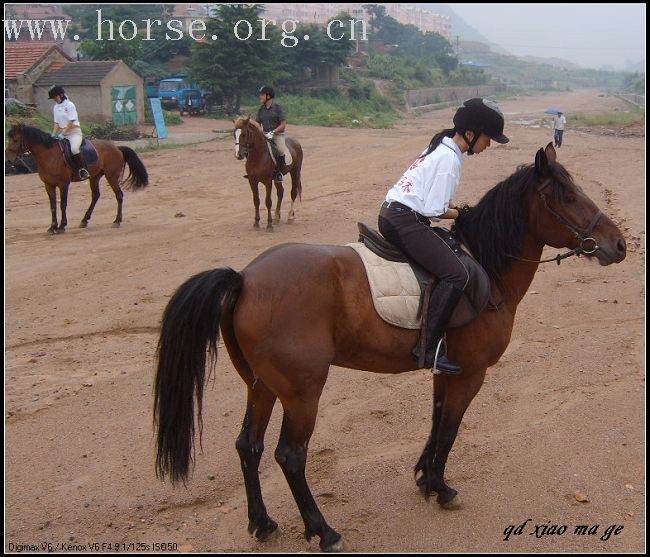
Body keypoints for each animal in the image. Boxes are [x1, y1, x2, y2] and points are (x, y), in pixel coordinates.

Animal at [6, 123, 148, 232]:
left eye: (15, 140)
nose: (8, 160)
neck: (48, 155)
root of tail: (116, 147)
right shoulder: (49, 185)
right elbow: (52, 206)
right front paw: (52, 227)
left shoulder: (63, 184)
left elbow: (63, 204)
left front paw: (62, 226)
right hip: (95, 177)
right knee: (95, 196)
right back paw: (84, 220)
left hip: (111, 176)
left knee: (119, 195)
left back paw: (117, 221)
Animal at [152, 144, 624, 552]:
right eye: (568, 196)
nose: (618, 244)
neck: (487, 269)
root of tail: (245, 279)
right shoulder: (471, 373)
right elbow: (450, 430)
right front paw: (441, 488)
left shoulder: (445, 370)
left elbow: (436, 423)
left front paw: (425, 479)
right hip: (302, 392)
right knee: (290, 456)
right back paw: (324, 531)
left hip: (262, 387)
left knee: (248, 446)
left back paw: (263, 522)